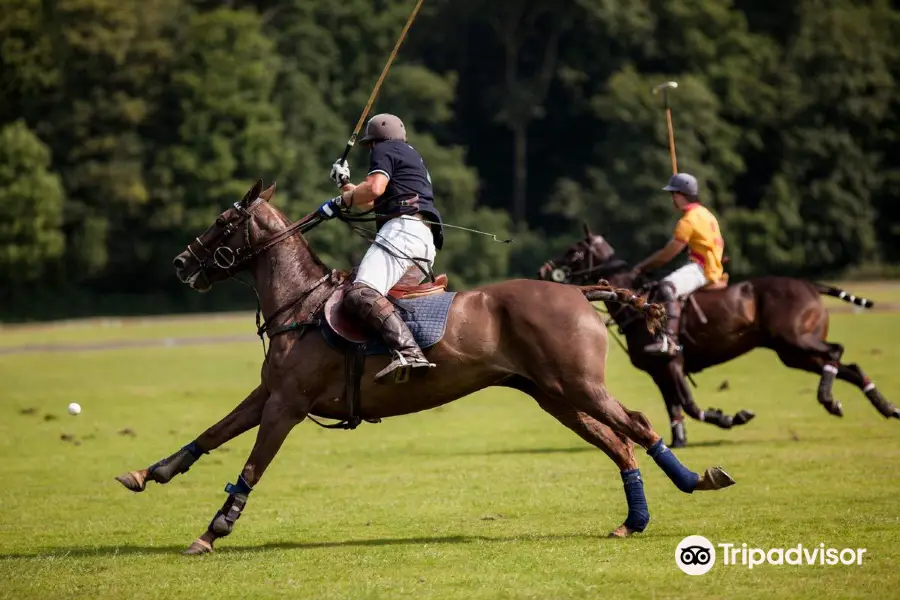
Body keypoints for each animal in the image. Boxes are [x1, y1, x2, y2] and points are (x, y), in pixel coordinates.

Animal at [116, 179, 736, 552]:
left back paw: (695, 481)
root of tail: (582, 293)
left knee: (637, 423)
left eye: (224, 222)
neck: (300, 304)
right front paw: (150, 472)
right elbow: (211, 432)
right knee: (618, 442)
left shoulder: (288, 405)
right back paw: (635, 519)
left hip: (578, 384)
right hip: (554, 395)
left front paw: (213, 530)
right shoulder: (270, 393)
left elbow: (251, 464)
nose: (180, 263)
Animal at [536, 224, 896, 446]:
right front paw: (678, 441)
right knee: (850, 367)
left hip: (795, 341)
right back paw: (881, 407)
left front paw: (731, 418)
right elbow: (674, 407)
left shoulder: (673, 362)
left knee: (836, 351)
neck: (638, 305)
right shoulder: (658, 371)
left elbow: (690, 405)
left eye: (574, 251)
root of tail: (811, 285)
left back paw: (829, 398)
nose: (543, 270)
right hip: (793, 353)